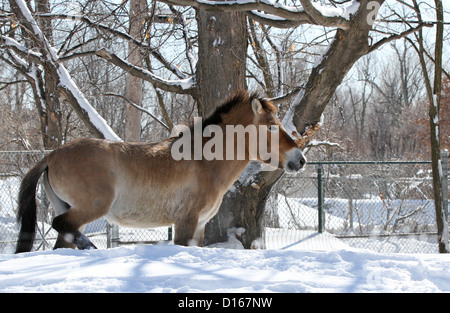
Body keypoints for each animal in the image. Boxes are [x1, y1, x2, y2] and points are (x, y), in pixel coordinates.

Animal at [14, 89, 306, 251]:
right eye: (271, 126)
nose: (300, 159)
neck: (203, 162)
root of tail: (51, 156)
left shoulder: (200, 226)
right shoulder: (185, 222)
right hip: (91, 208)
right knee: (61, 225)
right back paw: (90, 246)